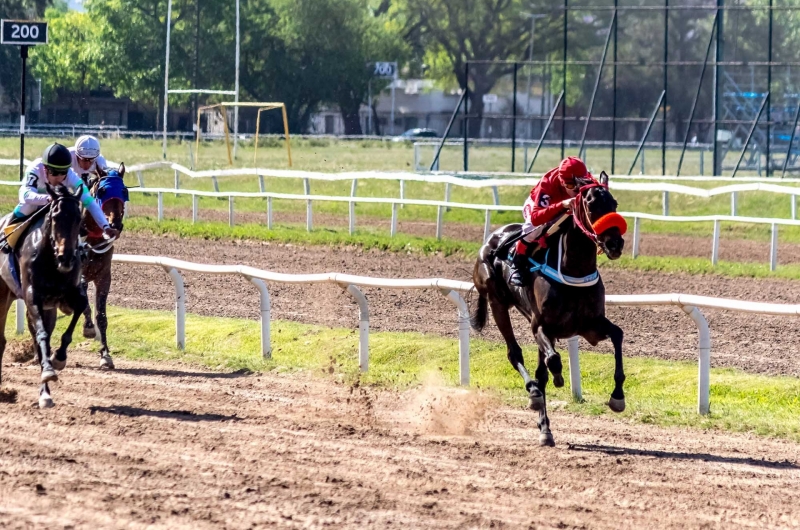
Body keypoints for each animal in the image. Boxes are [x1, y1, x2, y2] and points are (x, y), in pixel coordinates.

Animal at [0, 184, 88, 406]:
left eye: (78, 218)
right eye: (55, 217)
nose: (66, 257)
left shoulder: (68, 294)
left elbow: (79, 309)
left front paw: (59, 358)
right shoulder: (33, 297)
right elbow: (41, 336)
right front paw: (49, 369)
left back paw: (45, 394)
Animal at [472, 171, 628, 444]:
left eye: (614, 203)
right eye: (590, 205)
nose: (614, 244)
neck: (574, 269)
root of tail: (492, 239)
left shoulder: (591, 326)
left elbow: (617, 335)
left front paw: (618, 397)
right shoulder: (542, 326)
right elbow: (552, 361)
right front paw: (556, 380)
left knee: (538, 366)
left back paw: (545, 427)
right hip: (497, 303)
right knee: (515, 354)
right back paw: (534, 395)